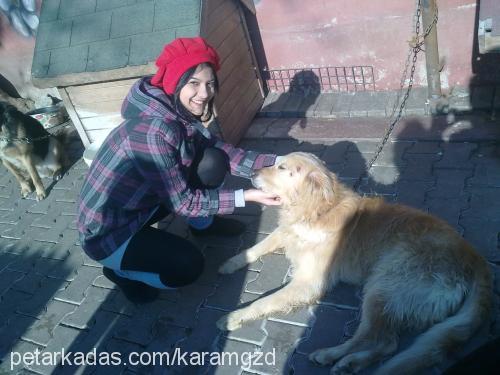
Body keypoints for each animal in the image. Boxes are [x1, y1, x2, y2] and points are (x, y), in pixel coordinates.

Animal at [216, 153, 492, 375]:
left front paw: (234, 317)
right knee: (388, 343)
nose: (252, 173)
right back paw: (353, 363)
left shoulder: (308, 282)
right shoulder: (285, 233)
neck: (316, 210)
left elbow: (264, 301)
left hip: (382, 286)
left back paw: (331, 355)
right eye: (275, 163)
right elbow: (255, 248)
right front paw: (230, 263)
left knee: (372, 337)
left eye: (282, 168)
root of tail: (474, 258)